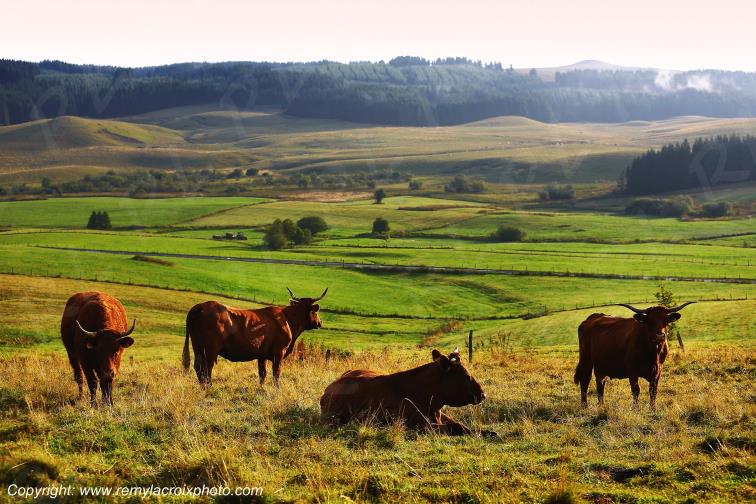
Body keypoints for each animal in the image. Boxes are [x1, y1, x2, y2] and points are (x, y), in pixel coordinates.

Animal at [182, 288, 327, 386]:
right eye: (316, 311)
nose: (320, 322)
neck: (287, 319)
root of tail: (199, 307)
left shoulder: (261, 354)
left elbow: (262, 374)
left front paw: (261, 388)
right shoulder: (279, 352)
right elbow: (276, 373)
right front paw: (277, 388)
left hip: (197, 346)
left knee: (198, 367)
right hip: (210, 349)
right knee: (207, 368)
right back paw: (209, 387)